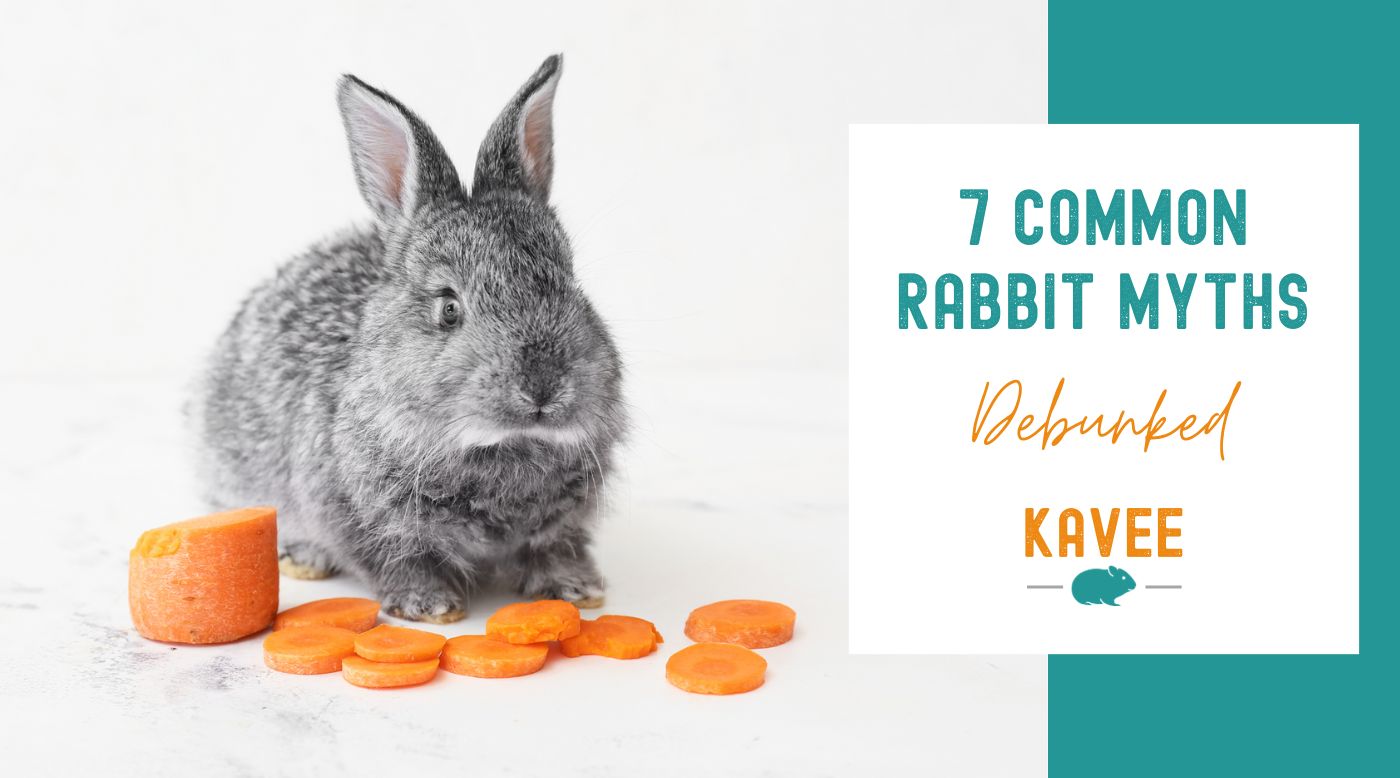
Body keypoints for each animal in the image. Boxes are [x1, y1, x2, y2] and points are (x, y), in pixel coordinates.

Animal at [191, 55, 626, 623]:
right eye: (448, 308)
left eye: (570, 285)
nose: (542, 386)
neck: (498, 444)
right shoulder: (360, 515)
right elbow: (398, 558)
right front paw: (430, 605)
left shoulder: (562, 520)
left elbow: (554, 547)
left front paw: (576, 589)